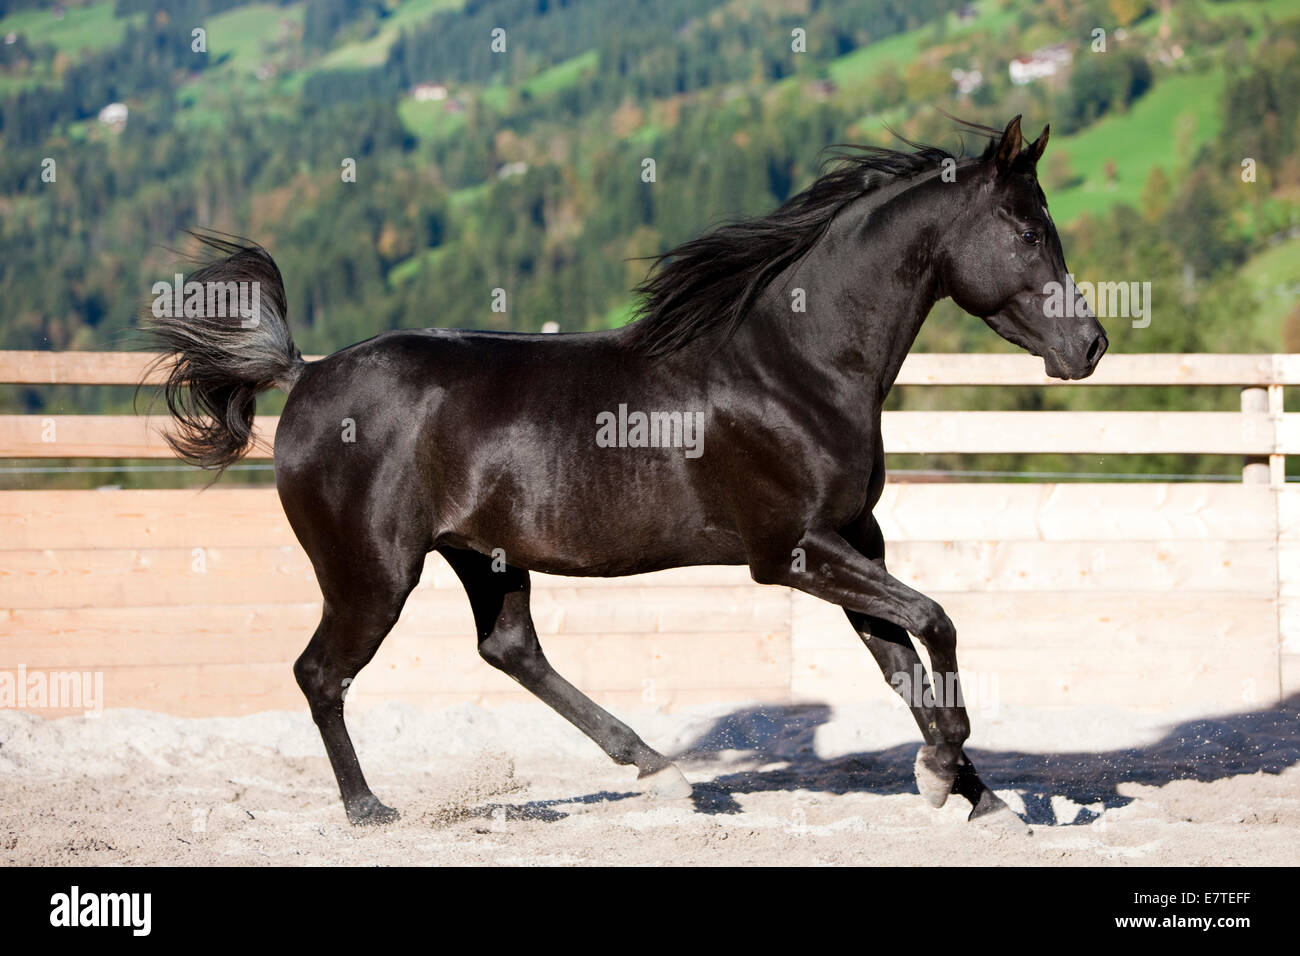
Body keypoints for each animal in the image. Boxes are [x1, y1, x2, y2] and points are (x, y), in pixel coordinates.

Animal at [144, 115, 1107, 829]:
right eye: (1027, 230)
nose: (1089, 346)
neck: (792, 366)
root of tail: (304, 376)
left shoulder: (848, 541)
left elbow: (904, 660)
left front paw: (977, 796)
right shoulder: (791, 553)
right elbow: (934, 623)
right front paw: (945, 773)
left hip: (484, 557)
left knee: (510, 650)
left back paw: (660, 769)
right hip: (372, 573)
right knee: (321, 673)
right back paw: (369, 809)